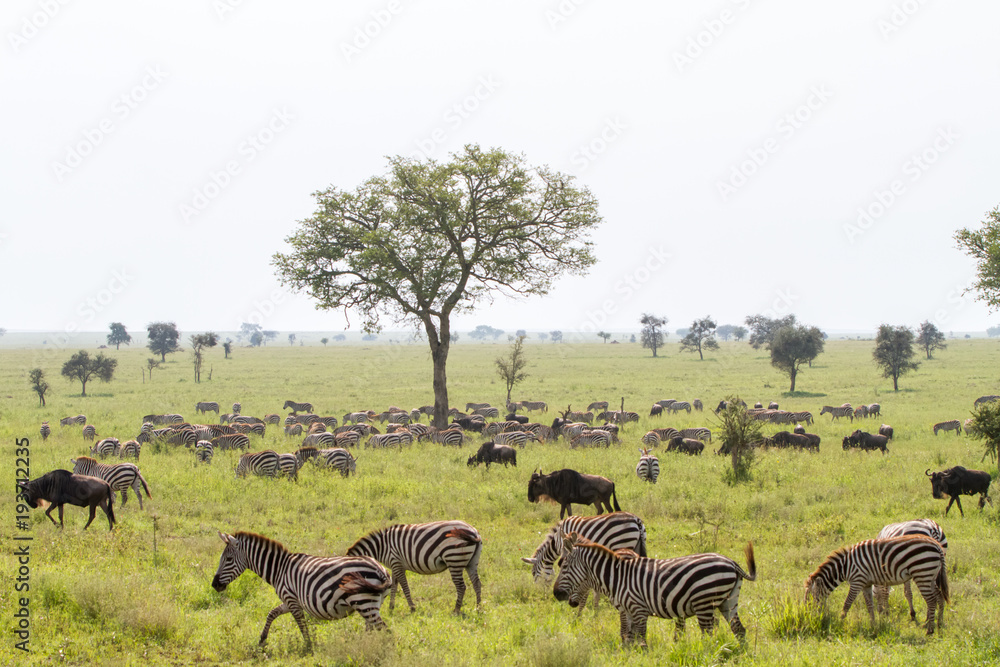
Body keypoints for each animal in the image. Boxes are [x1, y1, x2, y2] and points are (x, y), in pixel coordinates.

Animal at [212, 531, 392, 650]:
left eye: (228, 559)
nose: (214, 585)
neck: (279, 569)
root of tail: (381, 570)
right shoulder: (288, 600)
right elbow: (272, 614)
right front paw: (262, 640)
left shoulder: (291, 599)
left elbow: (301, 624)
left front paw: (309, 646)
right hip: (370, 603)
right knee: (373, 628)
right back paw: (367, 645)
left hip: (364, 602)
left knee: (385, 630)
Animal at [346, 520, 483, 614]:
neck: (381, 547)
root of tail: (473, 531)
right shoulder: (395, 565)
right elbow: (394, 586)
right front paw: (391, 607)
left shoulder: (396, 562)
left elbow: (404, 586)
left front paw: (412, 607)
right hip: (471, 562)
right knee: (476, 583)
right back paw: (478, 608)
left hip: (454, 558)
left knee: (461, 586)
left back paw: (456, 610)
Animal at [554, 533, 756, 646]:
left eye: (564, 566)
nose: (556, 594)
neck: (617, 577)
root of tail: (732, 563)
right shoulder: (628, 610)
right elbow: (628, 636)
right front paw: (629, 656)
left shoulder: (638, 609)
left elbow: (641, 638)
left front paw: (643, 657)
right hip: (729, 601)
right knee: (739, 630)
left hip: (704, 602)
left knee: (708, 634)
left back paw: (707, 653)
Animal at [805, 535, 948, 635]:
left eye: (810, 599)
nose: (808, 617)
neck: (845, 567)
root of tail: (937, 546)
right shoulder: (866, 584)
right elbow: (870, 606)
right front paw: (873, 625)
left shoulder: (857, 581)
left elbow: (847, 603)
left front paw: (840, 621)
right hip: (931, 576)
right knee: (940, 597)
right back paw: (939, 623)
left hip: (922, 573)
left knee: (931, 601)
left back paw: (930, 630)